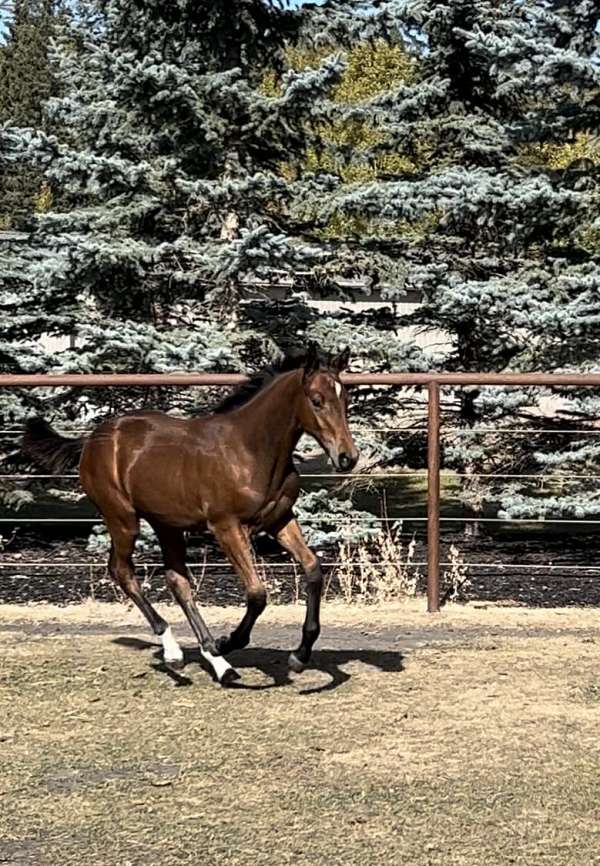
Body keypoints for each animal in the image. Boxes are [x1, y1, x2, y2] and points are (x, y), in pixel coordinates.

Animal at [22, 343, 359, 686]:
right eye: (317, 400)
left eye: (345, 399)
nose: (347, 457)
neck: (250, 450)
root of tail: (91, 438)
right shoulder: (226, 526)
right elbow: (256, 593)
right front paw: (229, 641)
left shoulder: (279, 519)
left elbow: (313, 569)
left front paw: (299, 657)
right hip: (122, 518)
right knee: (122, 570)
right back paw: (179, 653)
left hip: (166, 524)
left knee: (176, 579)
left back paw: (218, 664)